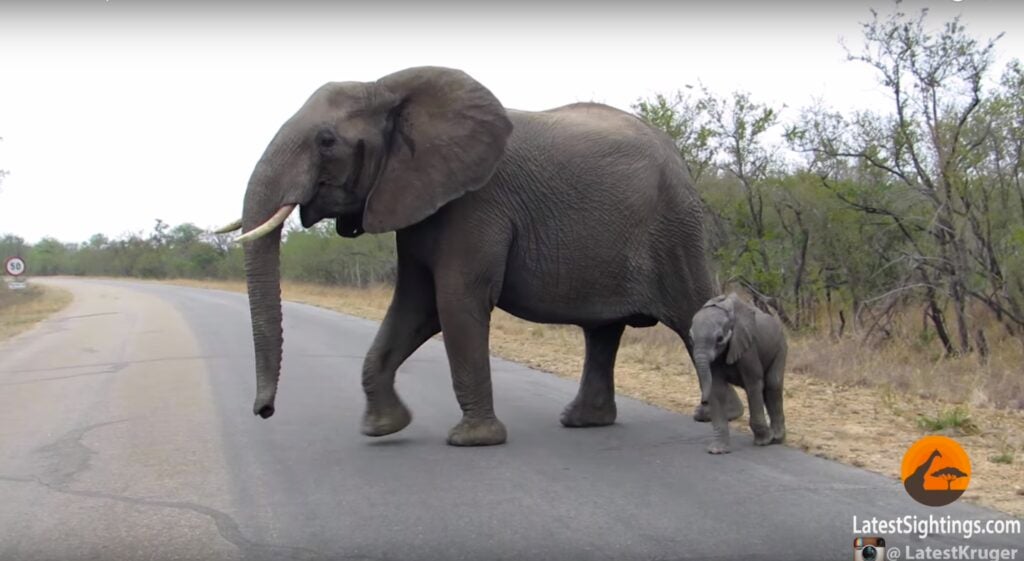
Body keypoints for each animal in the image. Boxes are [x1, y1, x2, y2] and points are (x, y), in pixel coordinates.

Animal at [218, 65, 745, 446]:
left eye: (326, 141)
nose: (263, 411)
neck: (389, 88)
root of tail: (678, 157)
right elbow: (414, 306)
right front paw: (383, 427)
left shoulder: (475, 204)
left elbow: (454, 302)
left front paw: (473, 440)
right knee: (602, 330)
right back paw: (584, 422)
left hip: (674, 229)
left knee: (688, 311)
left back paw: (721, 414)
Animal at [692, 294, 786, 454]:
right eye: (691, 337)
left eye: (719, 339)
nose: (703, 402)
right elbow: (716, 389)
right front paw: (717, 450)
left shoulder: (748, 347)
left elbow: (753, 383)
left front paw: (763, 441)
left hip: (780, 347)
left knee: (772, 384)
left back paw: (776, 439)